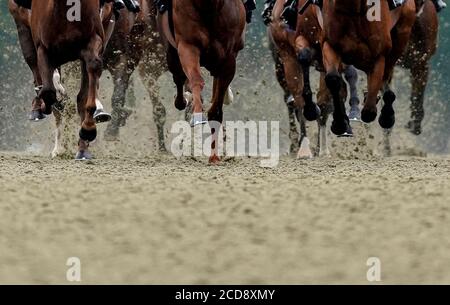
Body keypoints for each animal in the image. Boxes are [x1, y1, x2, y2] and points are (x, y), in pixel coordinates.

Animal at [162, 0, 246, 164]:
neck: (209, 7)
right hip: (173, 54)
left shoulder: (229, 57)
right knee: (179, 79)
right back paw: (185, 99)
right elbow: (196, 80)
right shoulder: (187, 45)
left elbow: (216, 110)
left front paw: (214, 156)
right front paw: (196, 115)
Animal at [322, 0, 416, 135]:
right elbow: (333, 79)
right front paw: (339, 122)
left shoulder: (378, 56)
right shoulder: (330, 45)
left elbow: (369, 111)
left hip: (403, 29)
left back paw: (386, 111)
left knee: (386, 75)